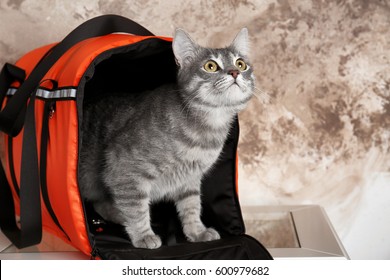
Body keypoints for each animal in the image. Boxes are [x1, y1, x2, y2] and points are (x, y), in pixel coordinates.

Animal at [79, 27, 256, 248]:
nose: (235, 72)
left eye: (241, 63)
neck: (207, 128)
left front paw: (197, 232)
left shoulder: (190, 179)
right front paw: (143, 235)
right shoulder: (123, 170)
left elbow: (191, 207)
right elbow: (136, 208)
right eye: (211, 66)